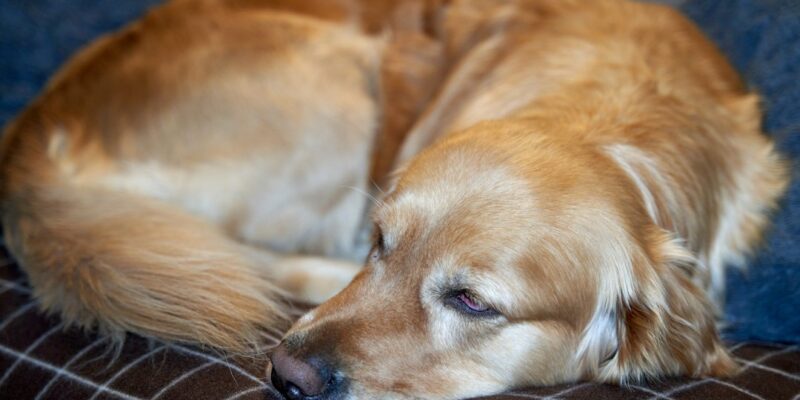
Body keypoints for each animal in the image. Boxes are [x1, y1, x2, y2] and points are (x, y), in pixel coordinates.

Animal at [0, 0, 788, 398]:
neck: (616, 121)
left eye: (472, 302)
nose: (287, 376)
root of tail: (36, 127)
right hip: (342, 85)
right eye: (381, 241)